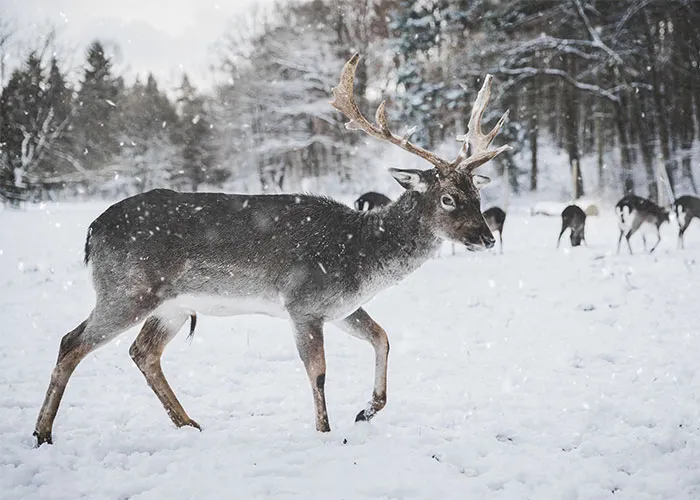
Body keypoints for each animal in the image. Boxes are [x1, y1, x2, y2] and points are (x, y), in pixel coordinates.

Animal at [32, 54, 512, 446]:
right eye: (448, 198)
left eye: (477, 193)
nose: (487, 238)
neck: (361, 257)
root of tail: (92, 231)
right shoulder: (303, 302)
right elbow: (318, 372)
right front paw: (325, 432)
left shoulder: (340, 307)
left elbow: (383, 337)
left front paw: (366, 410)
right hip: (127, 289)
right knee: (71, 342)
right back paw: (43, 433)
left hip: (171, 305)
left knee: (142, 352)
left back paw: (189, 424)